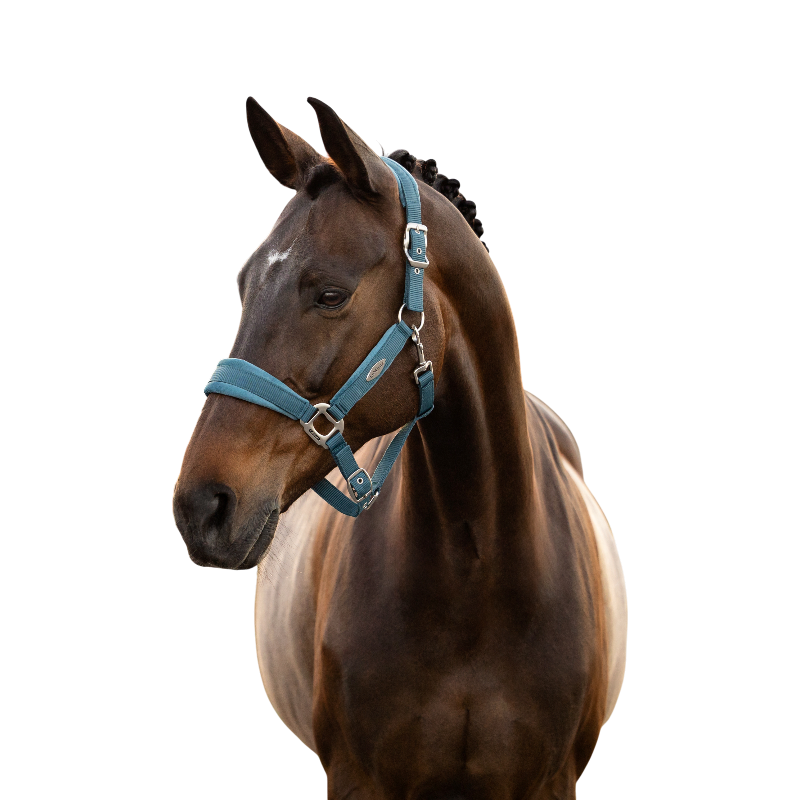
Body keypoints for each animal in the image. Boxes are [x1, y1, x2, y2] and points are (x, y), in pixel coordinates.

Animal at [172, 96, 627, 800]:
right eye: (245, 286)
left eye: (330, 294)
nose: (201, 505)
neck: (477, 572)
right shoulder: (359, 780)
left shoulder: (550, 782)